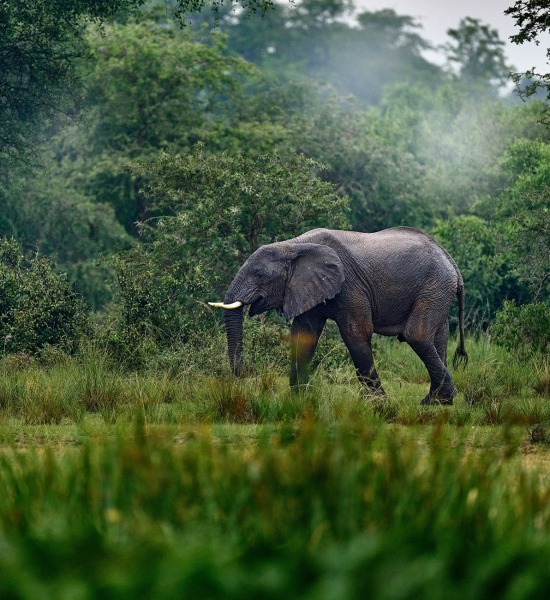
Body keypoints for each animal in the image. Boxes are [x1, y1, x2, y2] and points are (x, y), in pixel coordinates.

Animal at [209, 227, 468, 406]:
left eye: (260, 273)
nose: (245, 373)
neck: (293, 245)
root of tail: (451, 262)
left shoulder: (350, 286)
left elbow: (356, 336)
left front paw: (381, 406)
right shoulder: (309, 286)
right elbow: (303, 337)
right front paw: (299, 401)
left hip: (434, 286)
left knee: (418, 336)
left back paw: (437, 400)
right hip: (438, 290)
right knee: (438, 339)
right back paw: (437, 402)